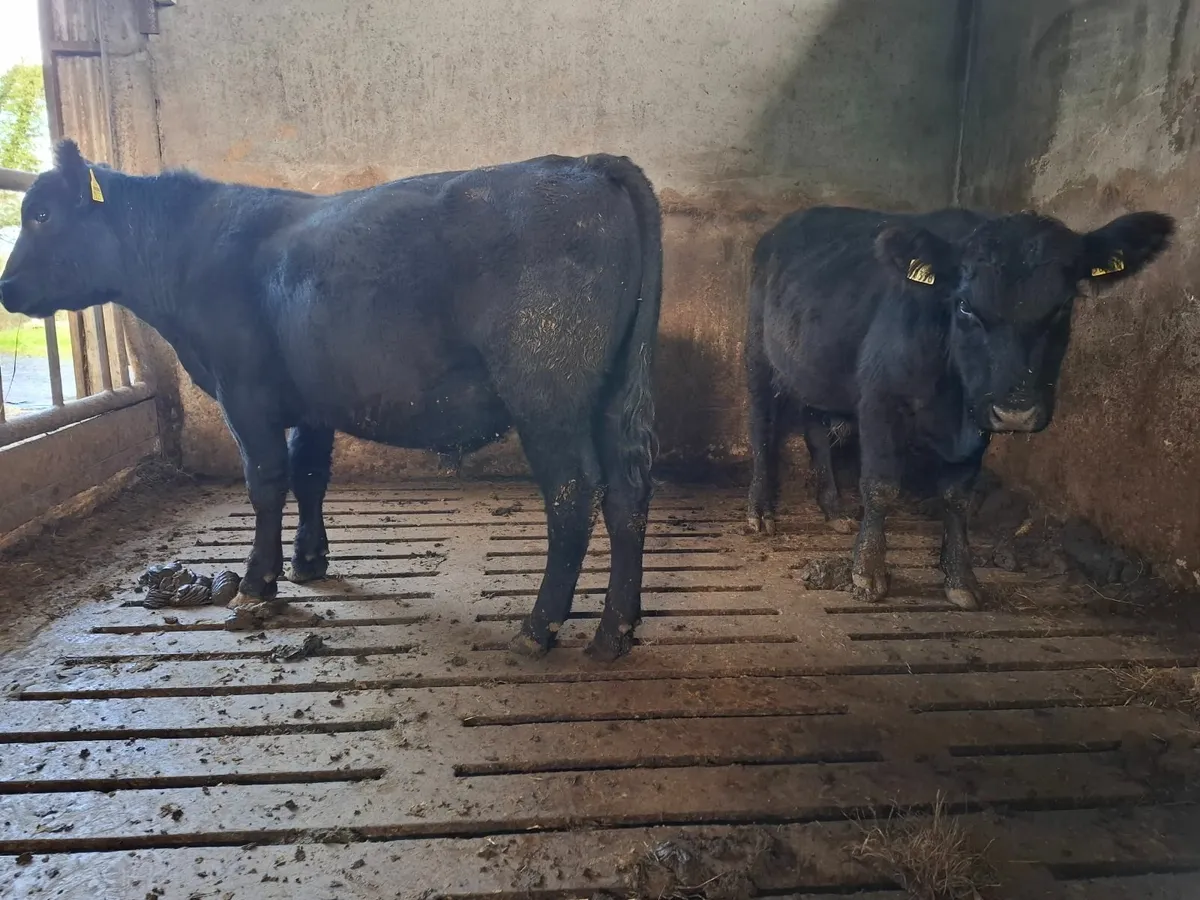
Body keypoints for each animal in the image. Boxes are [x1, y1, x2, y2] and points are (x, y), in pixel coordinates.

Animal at [0, 140, 663, 662]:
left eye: (41, 214)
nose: (5, 288)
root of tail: (587, 164)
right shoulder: (310, 401)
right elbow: (310, 474)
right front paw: (309, 561)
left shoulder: (245, 393)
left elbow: (267, 481)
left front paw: (258, 582)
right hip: (615, 392)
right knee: (628, 491)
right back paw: (615, 630)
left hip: (546, 390)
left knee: (573, 493)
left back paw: (538, 627)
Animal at [746, 205, 1173, 609]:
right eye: (966, 305)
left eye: (1063, 305)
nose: (1017, 411)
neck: (949, 396)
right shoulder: (881, 401)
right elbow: (880, 487)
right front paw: (867, 572)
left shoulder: (977, 415)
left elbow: (957, 496)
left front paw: (960, 577)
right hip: (757, 352)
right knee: (762, 430)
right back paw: (760, 511)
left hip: (814, 370)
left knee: (816, 432)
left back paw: (833, 511)